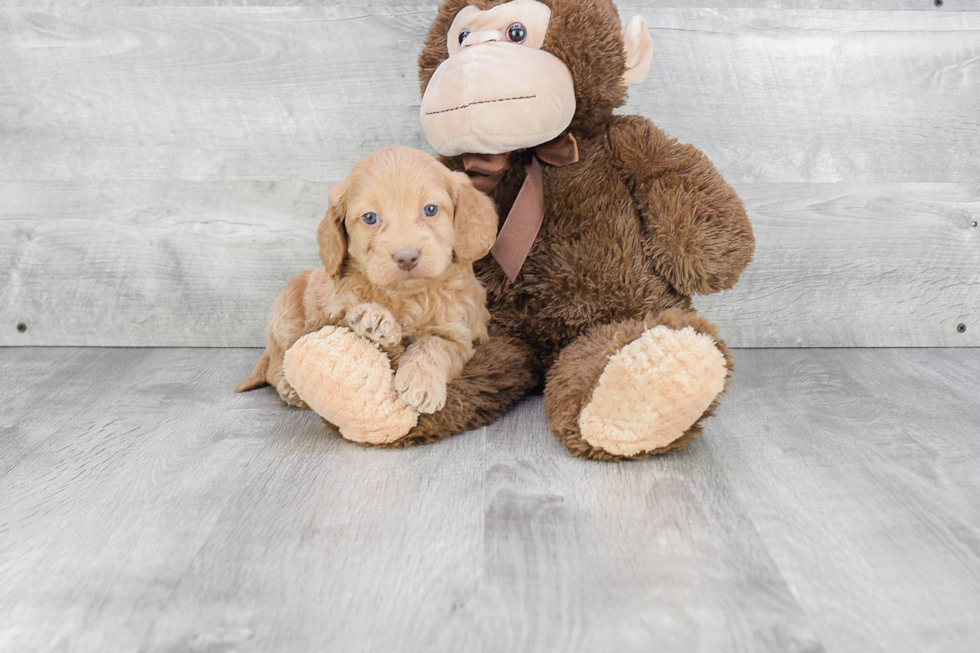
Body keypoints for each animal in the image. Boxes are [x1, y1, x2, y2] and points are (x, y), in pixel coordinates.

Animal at [235, 146, 498, 416]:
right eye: (370, 218)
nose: (407, 257)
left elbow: (435, 344)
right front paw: (376, 318)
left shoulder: (461, 336)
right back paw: (289, 385)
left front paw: (421, 382)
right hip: (287, 306)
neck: (406, 297)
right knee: (277, 356)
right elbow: (344, 321)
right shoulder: (331, 313)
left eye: (431, 210)